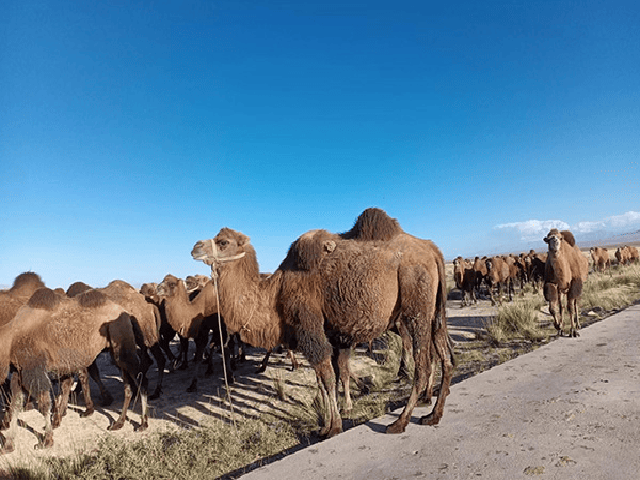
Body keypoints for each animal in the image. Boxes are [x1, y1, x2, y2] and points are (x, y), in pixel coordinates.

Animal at [0, 288, 148, 454]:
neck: (10, 339)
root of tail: (127, 313)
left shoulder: (33, 369)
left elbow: (44, 405)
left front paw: (47, 440)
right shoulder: (18, 371)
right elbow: (15, 404)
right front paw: (9, 444)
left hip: (121, 339)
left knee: (141, 379)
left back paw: (143, 423)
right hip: (116, 348)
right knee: (128, 386)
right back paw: (118, 423)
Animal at [191, 208, 454, 437]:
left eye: (223, 242)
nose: (195, 247)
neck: (274, 293)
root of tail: (433, 250)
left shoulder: (308, 325)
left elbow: (326, 377)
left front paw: (333, 426)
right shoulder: (327, 332)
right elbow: (328, 378)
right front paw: (328, 421)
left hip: (415, 298)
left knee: (423, 362)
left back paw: (400, 421)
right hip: (435, 309)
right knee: (444, 353)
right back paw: (433, 415)